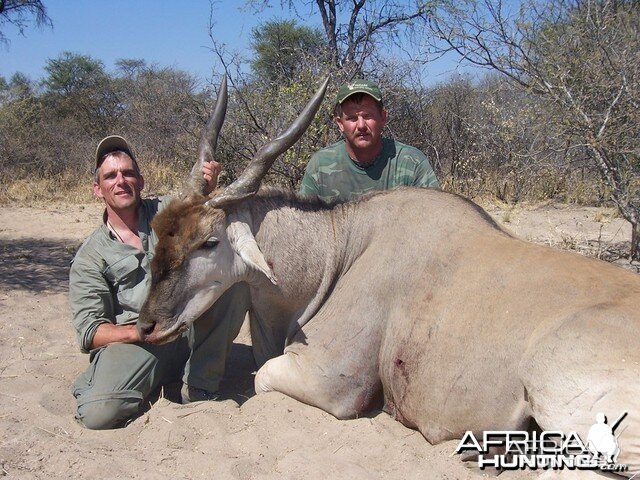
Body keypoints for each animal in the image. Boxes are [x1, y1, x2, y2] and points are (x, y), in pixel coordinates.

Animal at [138, 77, 636, 474]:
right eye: (159, 231)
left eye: (208, 242)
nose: (147, 325)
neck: (341, 245)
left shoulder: (331, 381)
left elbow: (262, 379)